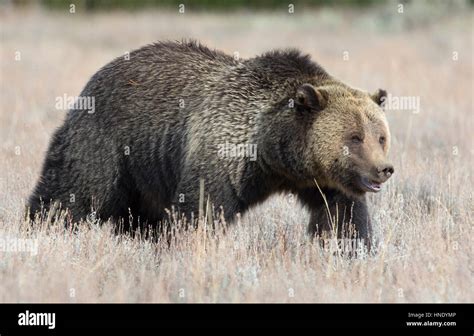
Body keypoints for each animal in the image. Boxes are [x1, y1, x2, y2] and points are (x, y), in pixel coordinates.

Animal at [27, 40, 394, 248]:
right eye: (354, 137)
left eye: (380, 136)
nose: (383, 170)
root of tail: (96, 77)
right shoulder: (223, 153)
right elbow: (201, 210)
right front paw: (189, 245)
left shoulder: (324, 181)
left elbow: (342, 217)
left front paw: (350, 249)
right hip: (107, 141)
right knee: (73, 192)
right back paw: (42, 228)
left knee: (140, 217)